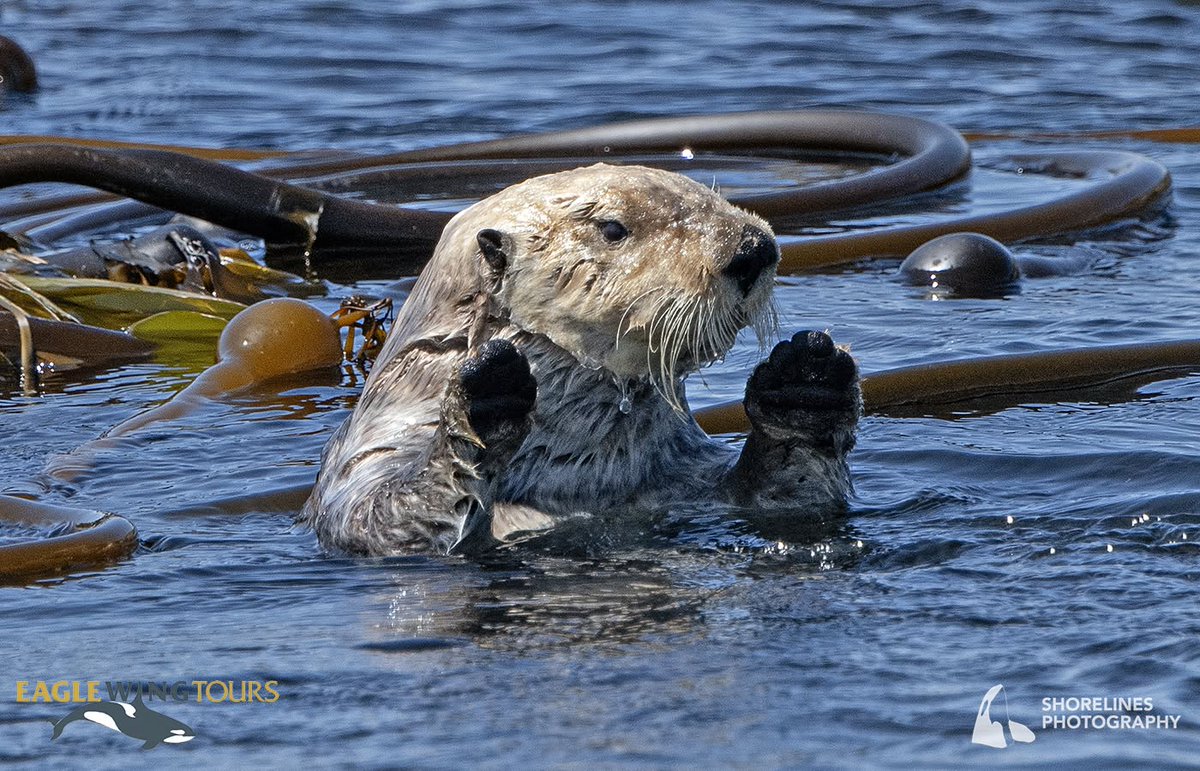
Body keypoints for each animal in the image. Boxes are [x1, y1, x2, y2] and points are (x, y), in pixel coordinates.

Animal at [300, 164, 860, 555]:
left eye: (714, 197)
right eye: (612, 228)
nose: (754, 248)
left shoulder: (683, 480)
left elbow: (789, 500)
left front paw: (805, 380)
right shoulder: (374, 452)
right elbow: (383, 519)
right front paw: (487, 393)